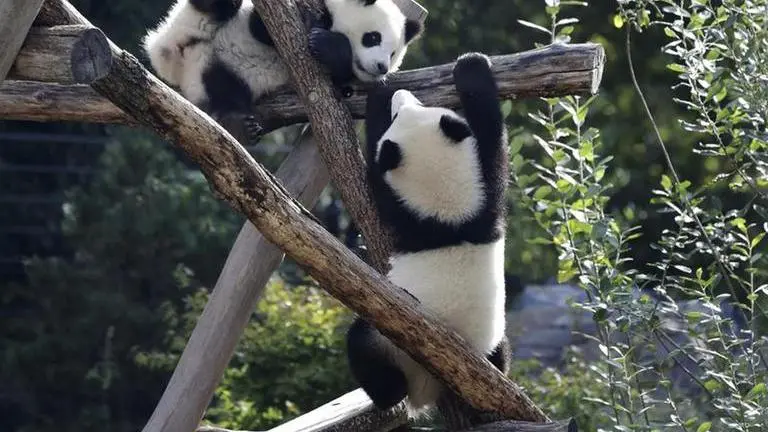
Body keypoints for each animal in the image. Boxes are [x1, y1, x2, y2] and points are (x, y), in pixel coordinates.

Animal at [142, 0, 423, 122]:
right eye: (373, 37)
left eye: (393, 53)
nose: (381, 67)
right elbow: (261, 28)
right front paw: (319, 29)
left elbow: (339, 77)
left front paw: (328, 45)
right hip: (190, 21)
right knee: (217, 7)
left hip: (219, 74)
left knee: (225, 92)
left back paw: (237, 121)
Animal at [347, 52, 510, 416]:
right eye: (416, 106)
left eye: (399, 115)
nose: (400, 95)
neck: (447, 211)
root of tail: (428, 387)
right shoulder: (486, 195)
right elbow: (493, 136)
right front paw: (473, 71)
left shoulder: (402, 211)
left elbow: (374, 182)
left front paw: (379, 95)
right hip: (492, 339)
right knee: (502, 351)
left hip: (390, 341)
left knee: (362, 343)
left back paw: (388, 394)